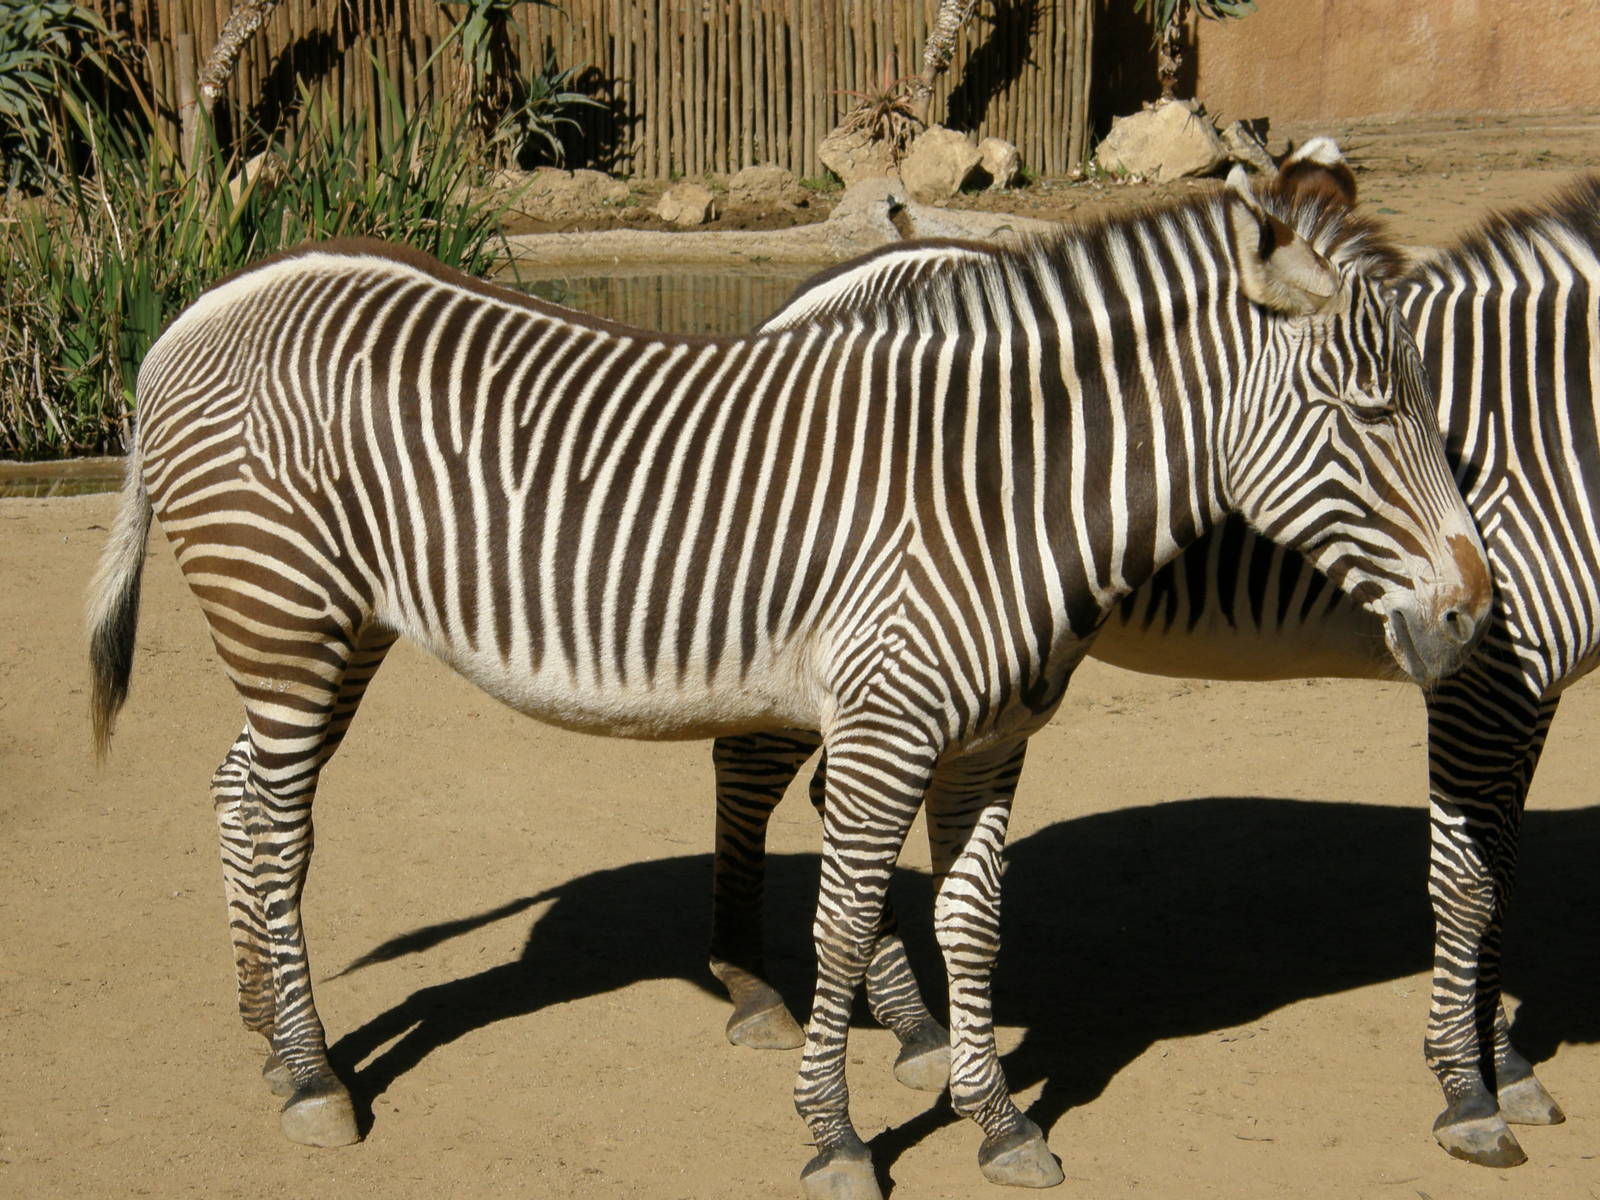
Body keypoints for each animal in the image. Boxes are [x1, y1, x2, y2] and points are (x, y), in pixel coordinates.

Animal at [86, 169, 1490, 1198]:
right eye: (1370, 409)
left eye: (1428, 403)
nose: (1472, 613)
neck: (995, 498)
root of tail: (200, 306)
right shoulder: (882, 730)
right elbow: (845, 922)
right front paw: (834, 1138)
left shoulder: (992, 744)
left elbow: (973, 923)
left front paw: (995, 1120)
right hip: (286, 611)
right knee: (279, 826)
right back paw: (316, 1077)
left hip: (330, 627)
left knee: (236, 793)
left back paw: (268, 1031)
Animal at [707, 150, 1600, 1171]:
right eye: (1376, 414)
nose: (1473, 603)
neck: (1556, 420)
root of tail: (812, 295)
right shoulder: (1488, 685)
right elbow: (1472, 881)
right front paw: (1469, 1089)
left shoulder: (1528, 687)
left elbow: (1504, 869)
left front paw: (1508, 1065)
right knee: (748, 768)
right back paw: (756, 990)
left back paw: (914, 1027)